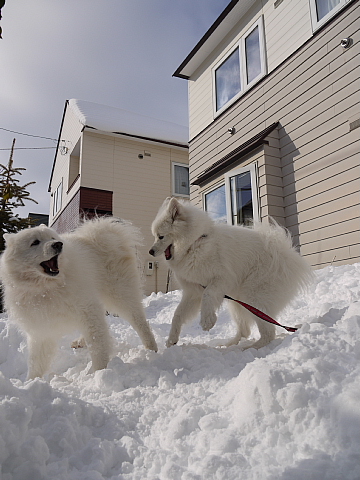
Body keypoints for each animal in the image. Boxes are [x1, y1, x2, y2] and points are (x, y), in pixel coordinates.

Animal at [0, 218, 158, 378]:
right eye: (35, 242)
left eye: (52, 238)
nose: (58, 244)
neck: (46, 288)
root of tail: (105, 234)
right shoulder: (41, 330)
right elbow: (36, 361)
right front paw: (32, 380)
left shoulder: (87, 309)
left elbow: (98, 344)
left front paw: (98, 372)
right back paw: (80, 341)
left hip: (120, 295)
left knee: (139, 322)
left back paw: (151, 348)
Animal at [149, 197, 312, 350]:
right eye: (155, 236)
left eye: (161, 236)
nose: (150, 251)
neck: (195, 243)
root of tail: (285, 253)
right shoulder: (193, 292)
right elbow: (177, 315)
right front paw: (171, 341)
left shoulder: (222, 279)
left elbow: (208, 295)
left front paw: (207, 321)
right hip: (238, 303)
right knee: (245, 330)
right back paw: (229, 345)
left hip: (253, 296)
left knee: (268, 331)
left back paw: (249, 348)